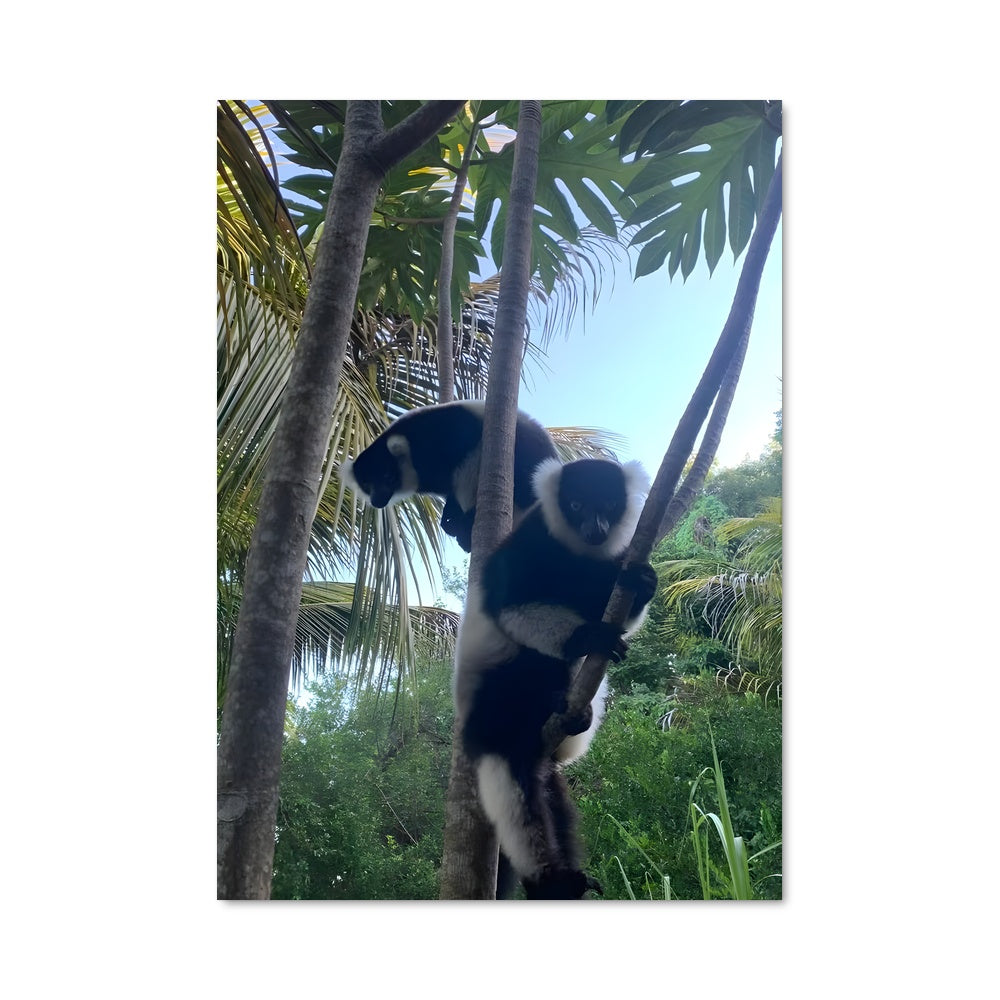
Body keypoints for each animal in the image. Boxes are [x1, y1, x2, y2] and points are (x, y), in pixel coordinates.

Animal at [339, 400, 557, 552]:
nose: (377, 500)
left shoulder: (443, 435)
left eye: (388, 476)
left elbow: (467, 448)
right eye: (366, 483)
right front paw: (449, 517)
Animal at [453, 457, 658, 899]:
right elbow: (511, 607)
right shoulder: (528, 546)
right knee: (510, 759)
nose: (596, 530)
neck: (574, 552)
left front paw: (642, 584)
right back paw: (551, 882)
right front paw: (589, 636)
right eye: (576, 504)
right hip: (495, 703)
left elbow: (614, 595)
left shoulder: (609, 562)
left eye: (610, 503)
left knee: (547, 786)